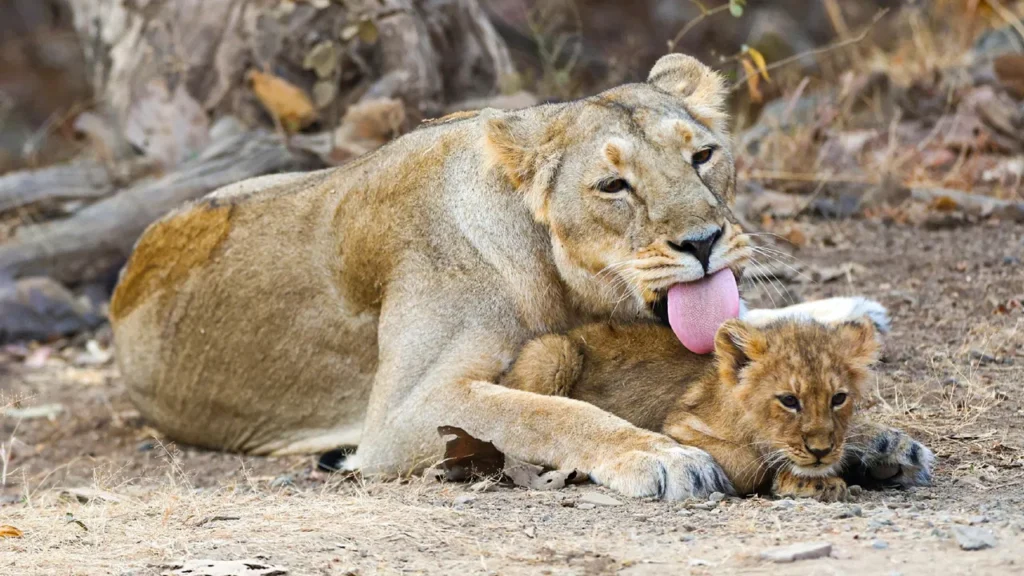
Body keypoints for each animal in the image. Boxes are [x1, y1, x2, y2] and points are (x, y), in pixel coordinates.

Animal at [501, 312, 935, 501]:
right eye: (789, 401)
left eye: (838, 398)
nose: (820, 450)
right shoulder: (678, 425)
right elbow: (747, 462)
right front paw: (797, 480)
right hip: (552, 353)